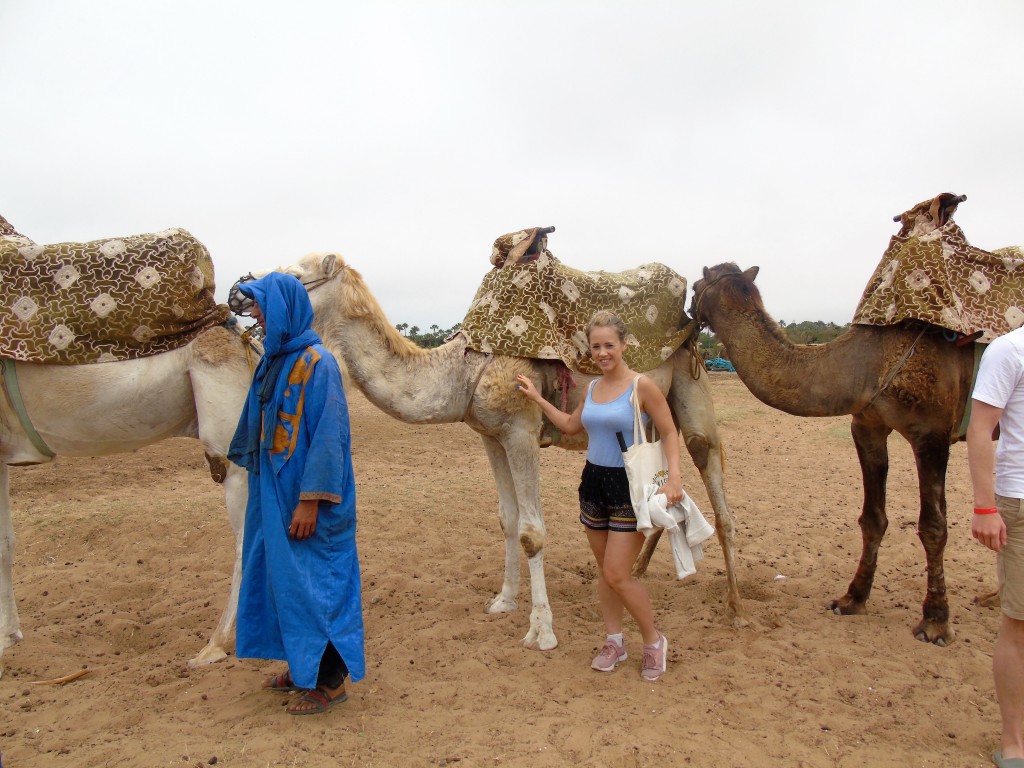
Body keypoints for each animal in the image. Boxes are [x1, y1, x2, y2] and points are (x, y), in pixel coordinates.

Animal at [237, 252, 745, 651]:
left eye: (293, 275)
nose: (240, 293)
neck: (462, 371)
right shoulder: (490, 436)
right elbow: (507, 519)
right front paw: (504, 600)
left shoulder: (521, 430)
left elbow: (532, 531)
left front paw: (541, 632)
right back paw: (638, 574)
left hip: (689, 381)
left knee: (714, 482)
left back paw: (736, 609)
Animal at [684, 262, 970, 647]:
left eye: (697, 284)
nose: (687, 308)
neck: (868, 363)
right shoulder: (867, 426)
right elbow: (873, 518)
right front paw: (851, 600)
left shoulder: (932, 434)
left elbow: (934, 526)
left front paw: (936, 622)